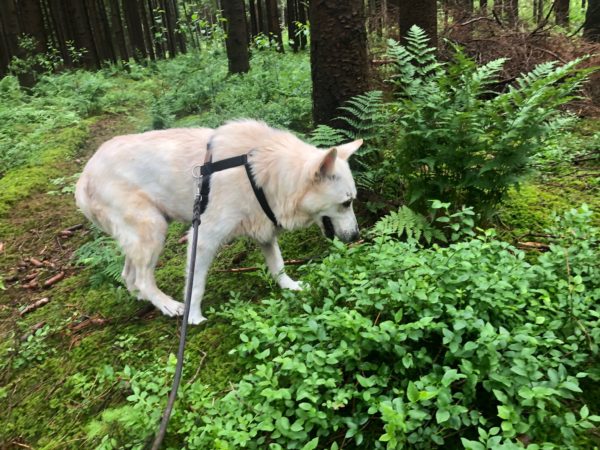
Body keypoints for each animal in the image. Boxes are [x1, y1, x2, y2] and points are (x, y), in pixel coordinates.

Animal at [75, 119, 362, 324]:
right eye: (346, 203)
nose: (357, 236)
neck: (261, 171)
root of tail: (84, 177)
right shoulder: (203, 238)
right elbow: (196, 285)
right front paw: (193, 317)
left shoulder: (264, 229)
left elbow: (278, 265)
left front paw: (289, 287)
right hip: (153, 229)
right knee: (144, 279)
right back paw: (167, 304)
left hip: (139, 235)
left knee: (129, 275)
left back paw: (143, 298)